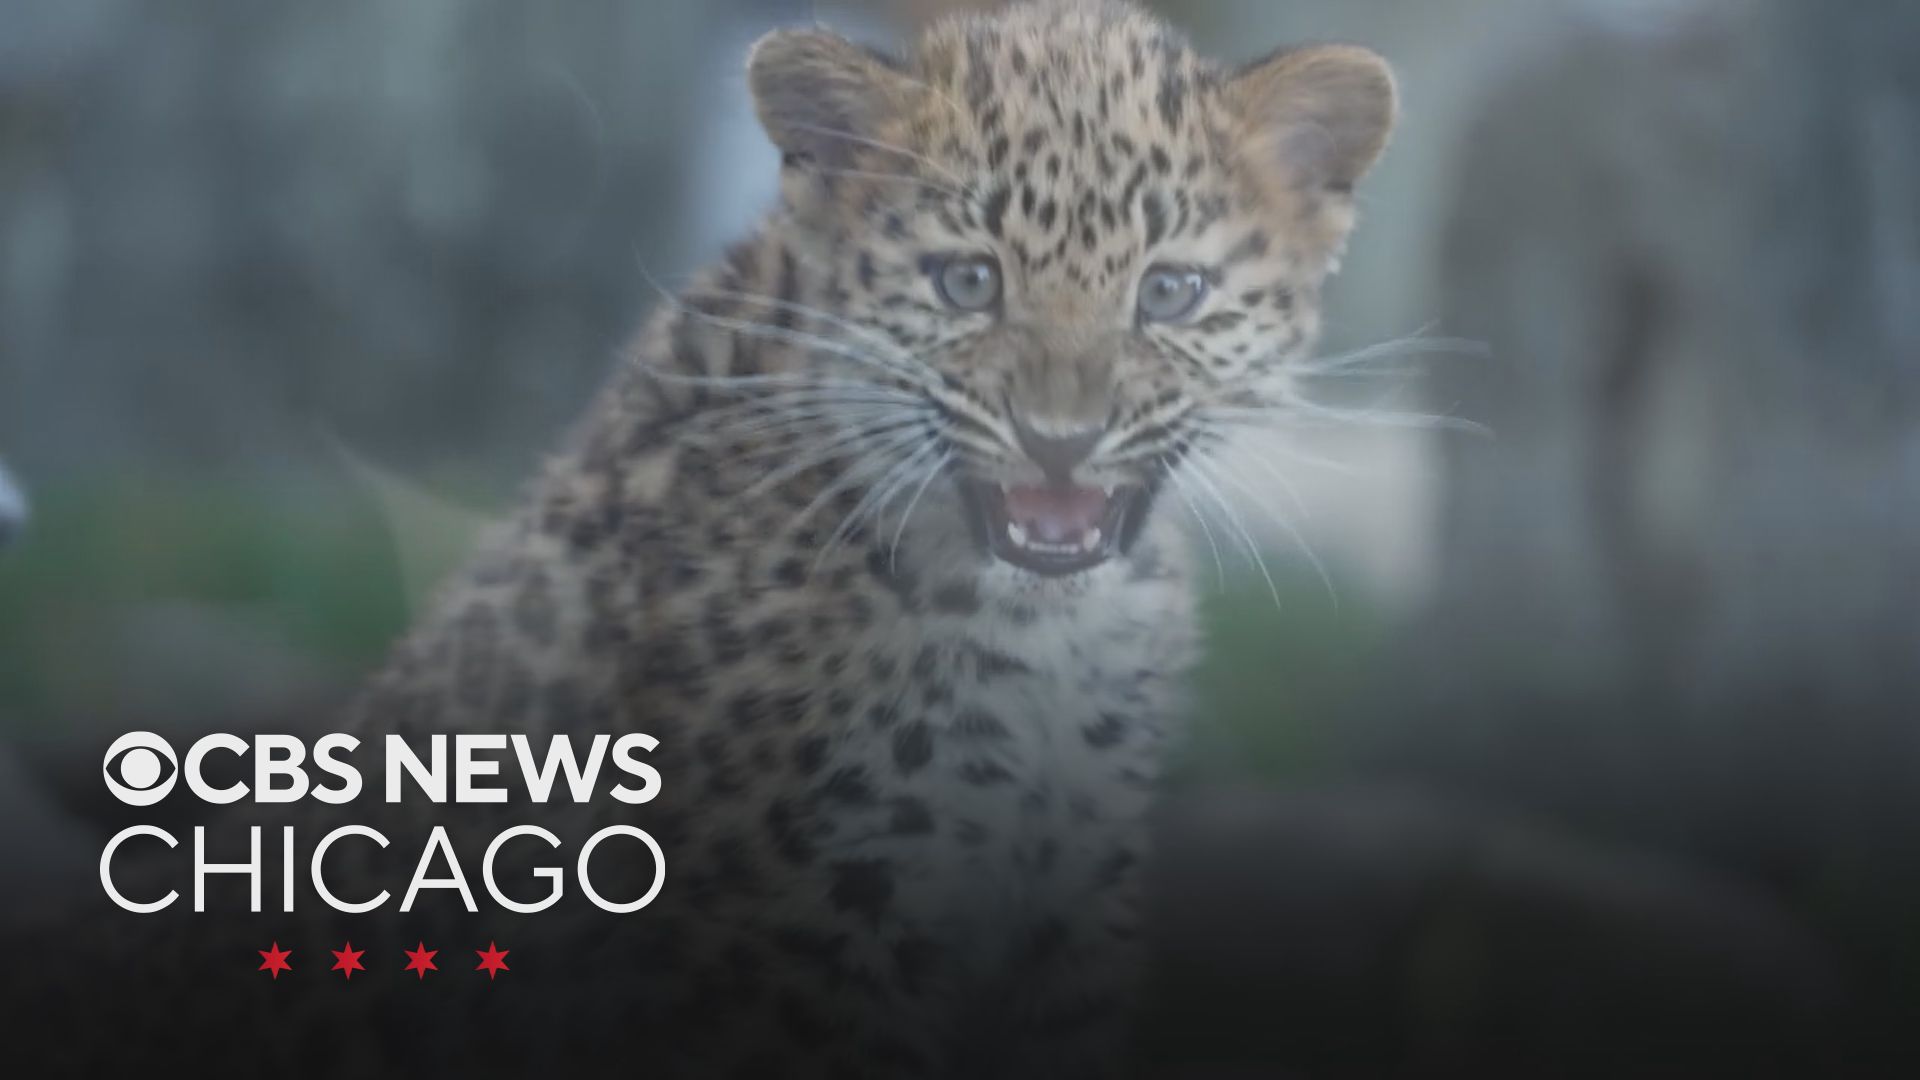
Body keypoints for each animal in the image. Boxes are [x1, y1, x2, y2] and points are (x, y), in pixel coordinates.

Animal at [6, 2, 1396, 1076]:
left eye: (1170, 293)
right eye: (968, 282)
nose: (1060, 441)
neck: (1039, 629)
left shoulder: (1068, 901)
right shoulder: (803, 925)